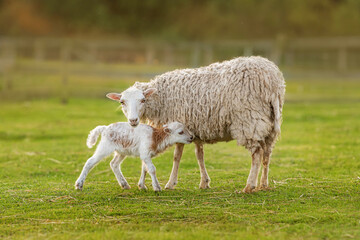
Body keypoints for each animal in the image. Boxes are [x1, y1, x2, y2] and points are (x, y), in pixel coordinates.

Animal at [105, 55, 286, 193]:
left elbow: (176, 156)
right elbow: (200, 155)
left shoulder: (179, 124)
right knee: (267, 153)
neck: (162, 98)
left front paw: (170, 183)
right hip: (269, 122)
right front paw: (204, 182)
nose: (133, 121)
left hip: (249, 120)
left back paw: (249, 186)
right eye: (122, 102)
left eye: (142, 100)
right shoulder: (196, 128)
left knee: (257, 153)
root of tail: (273, 81)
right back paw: (263, 184)